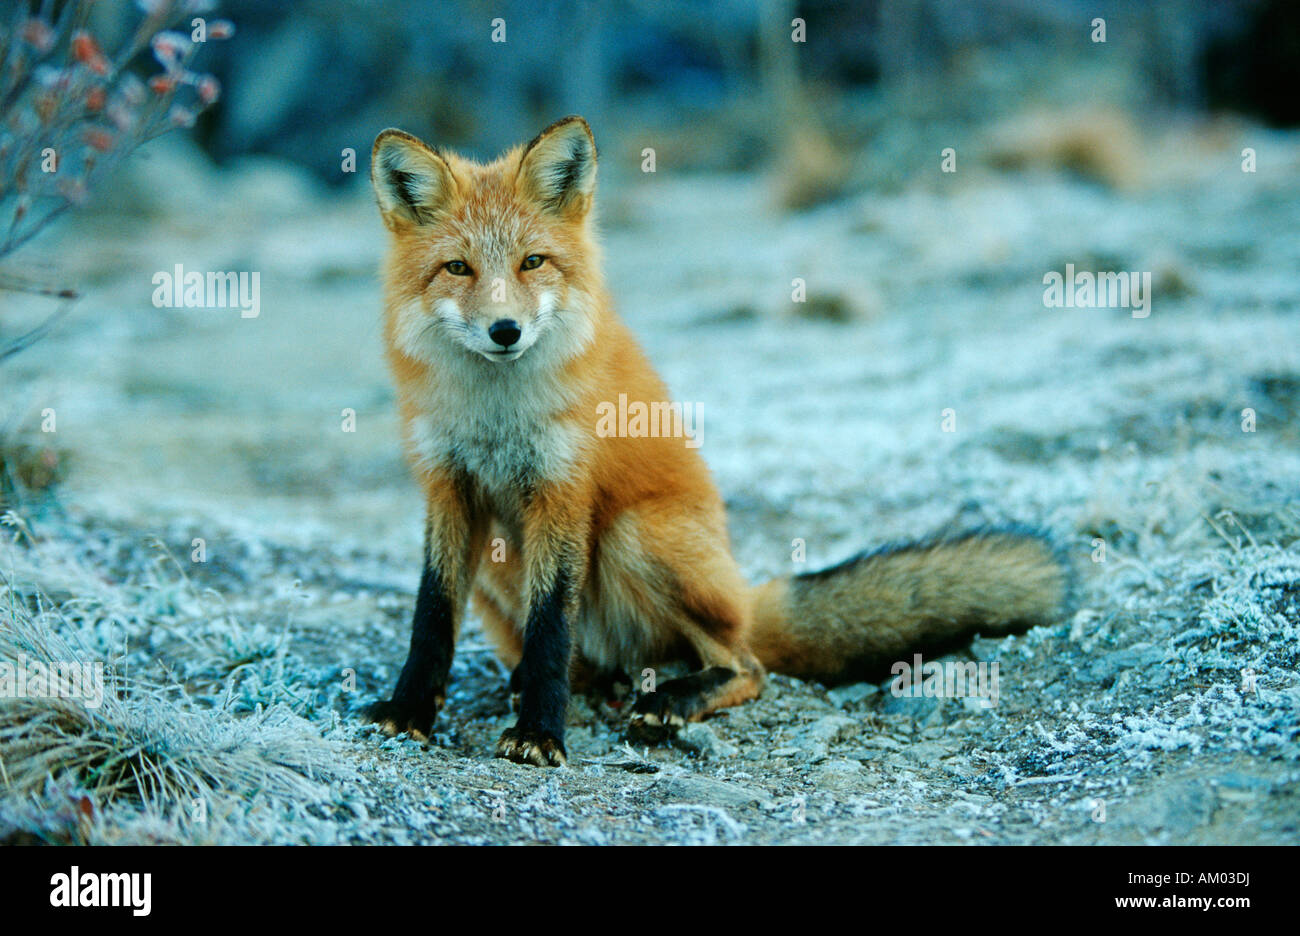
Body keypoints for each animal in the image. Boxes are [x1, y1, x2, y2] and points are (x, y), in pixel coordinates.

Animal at [361, 116, 1071, 769]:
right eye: (458, 268)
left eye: (531, 261)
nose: (505, 330)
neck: (496, 414)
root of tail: (743, 593)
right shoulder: (447, 488)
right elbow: (432, 614)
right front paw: (410, 709)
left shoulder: (563, 491)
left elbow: (549, 627)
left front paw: (540, 733)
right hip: (500, 564)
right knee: (590, 666)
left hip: (634, 535)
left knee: (747, 665)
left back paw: (673, 698)